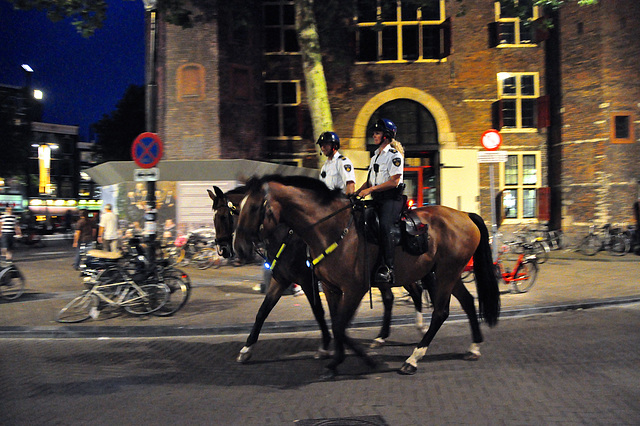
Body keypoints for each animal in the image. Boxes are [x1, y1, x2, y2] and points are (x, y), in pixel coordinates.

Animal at [208, 184, 428, 362]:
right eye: (215, 217)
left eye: (223, 216)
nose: (224, 250)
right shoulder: (281, 280)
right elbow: (263, 311)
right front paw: (246, 349)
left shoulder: (307, 281)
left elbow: (318, 311)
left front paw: (325, 346)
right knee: (391, 298)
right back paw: (382, 337)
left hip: (400, 272)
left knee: (415, 292)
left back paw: (419, 327)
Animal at [234, 175, 500, 378]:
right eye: (236, 208)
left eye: (254, 207)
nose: (237, 248)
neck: (328, 228)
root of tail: (465, 215)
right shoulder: (324, 287)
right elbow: (327, 321)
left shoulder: (351, 288)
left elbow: (338, 325)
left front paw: (362, 360)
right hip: (445, 274)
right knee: (466, 302)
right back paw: (473, 347)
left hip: (444, 273)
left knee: (440, 312)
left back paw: (413, 358)